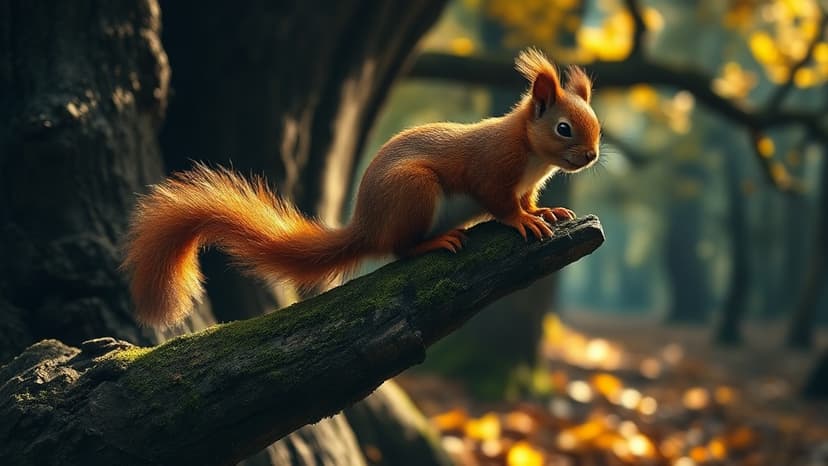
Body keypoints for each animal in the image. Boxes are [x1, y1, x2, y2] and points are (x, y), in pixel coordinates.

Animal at [122, 48, 601, 326]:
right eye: (563, 128)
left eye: (595, 124)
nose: (592, 155)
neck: (531, 154)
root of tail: (367, 224)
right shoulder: (492, 170)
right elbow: (501, 204)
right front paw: (523, 221)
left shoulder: (526, 184)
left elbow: (528, 200)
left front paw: (544, 212)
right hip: (414, 191)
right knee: (400, 249)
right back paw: (436, 241)